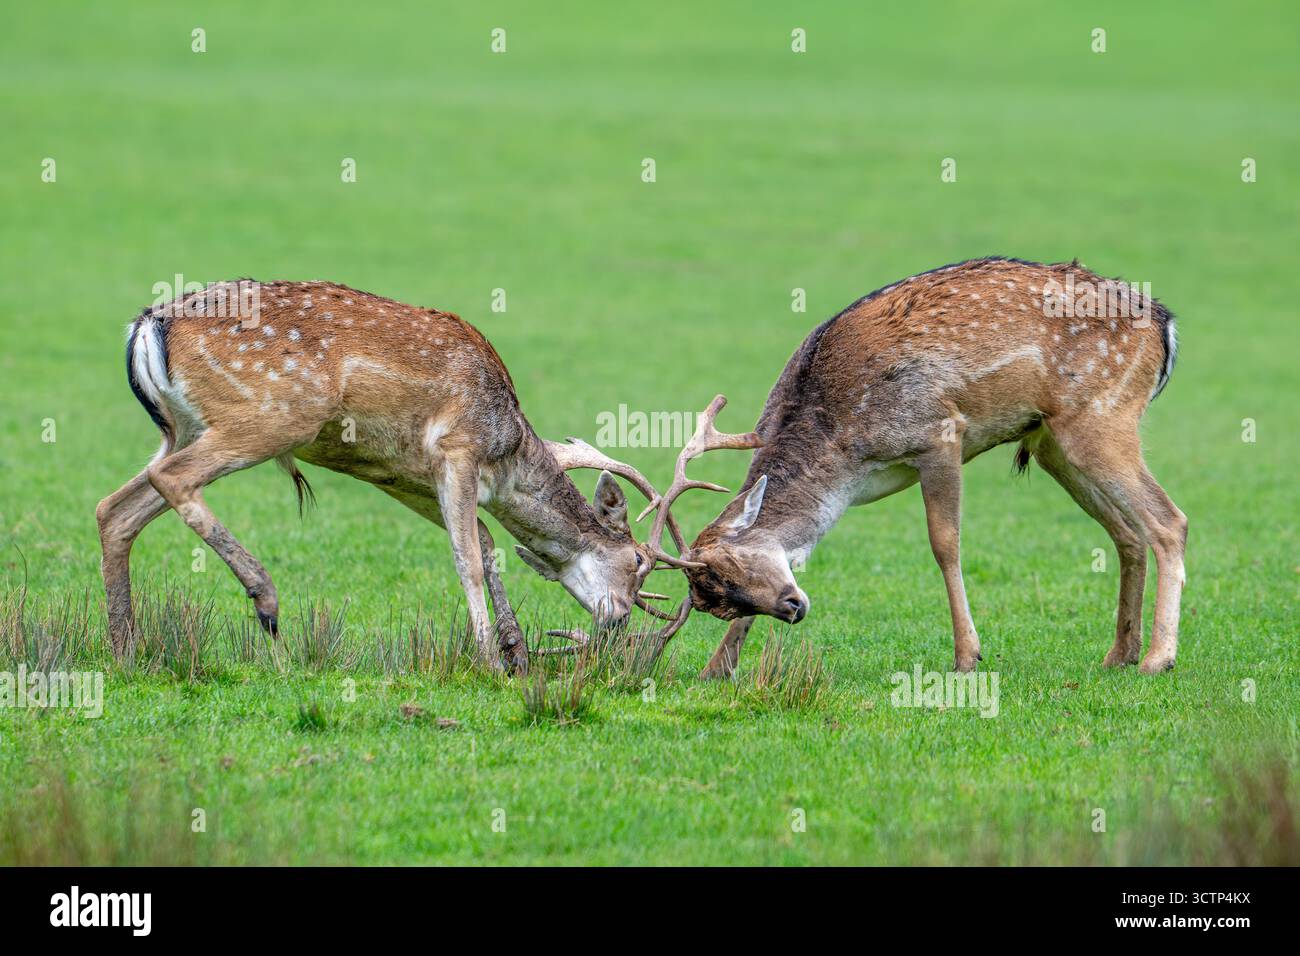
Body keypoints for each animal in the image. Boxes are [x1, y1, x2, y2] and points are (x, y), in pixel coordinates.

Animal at [95, 279, 697, 672]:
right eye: (638, 562)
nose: (619, 620)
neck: (507, 453)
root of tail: (147, 326)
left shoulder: (403, 475)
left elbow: (484, 541)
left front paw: (516, 652)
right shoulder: (457, 448)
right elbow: (468, 557)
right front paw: (487, 660)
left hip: (185, 427)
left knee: (114, 508)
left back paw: (125, 650)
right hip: (273, 416)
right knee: (173, 479)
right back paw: (264, 599)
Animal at [644, 257, 1186, 679]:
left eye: (734, 570)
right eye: (721, 598)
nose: (793, 609)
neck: (845, 461)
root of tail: (1165, 324)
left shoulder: (939, 433)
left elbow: (945, 544)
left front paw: (968, 656)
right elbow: (797, 558)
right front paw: (716, 667)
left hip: (1102, 415)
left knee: (1169, 521)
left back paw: (1157, 659)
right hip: (1053, 442)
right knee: (1128, 534)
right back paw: (1119, 654)